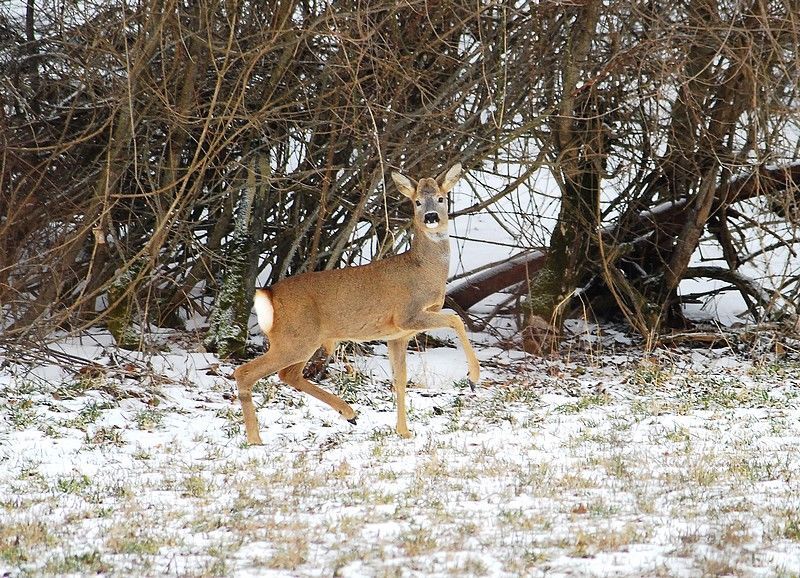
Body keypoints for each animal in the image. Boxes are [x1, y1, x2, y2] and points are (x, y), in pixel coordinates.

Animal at [231, 164, 482, 444]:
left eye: (440, 198)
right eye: (417, 202)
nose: (430, 217)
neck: (424, 272)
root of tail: (270, 294)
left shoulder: (398, 335)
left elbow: (400, 379)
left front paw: (404, 432)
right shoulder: (407, 315)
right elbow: (455, 319)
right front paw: (473, 378)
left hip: (300, 339)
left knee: (289, 374)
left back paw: (349, 414)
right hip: (296, 338)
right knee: (245, 372)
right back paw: (256, 440)